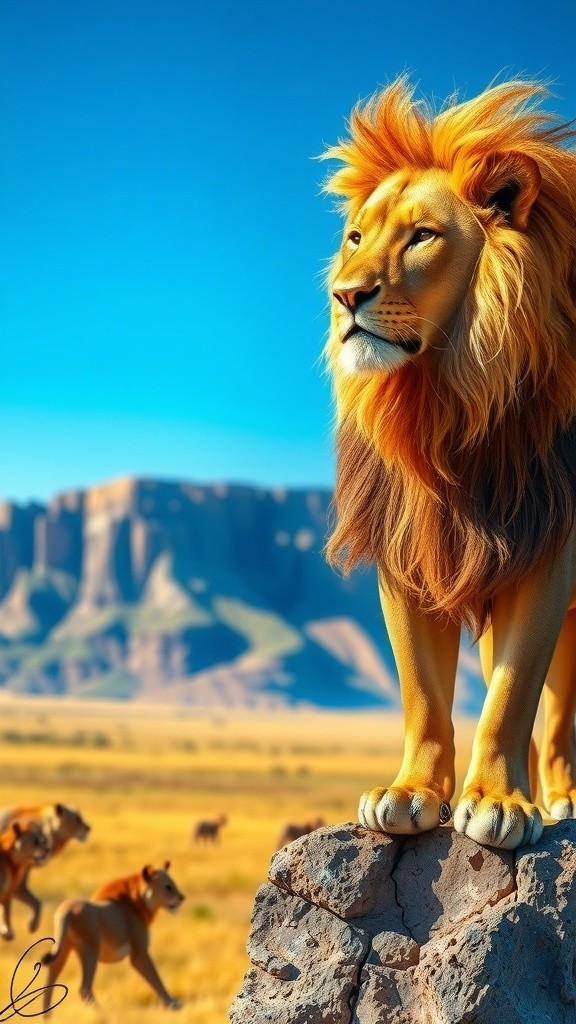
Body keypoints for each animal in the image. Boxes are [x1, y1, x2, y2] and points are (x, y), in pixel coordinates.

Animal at [0, 802, 90, 932]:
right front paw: (7, 930)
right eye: (77, 818)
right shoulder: (15, 882)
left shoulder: (18, 882)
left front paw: (32, 925)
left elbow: (37, 903)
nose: (88, 828)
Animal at [42, 861, 184, 1011]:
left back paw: (47, 1014)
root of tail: (67, 910)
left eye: (173, 883)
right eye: (168, 886)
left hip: (63, 948)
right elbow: (155, 978)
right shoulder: (139, 953)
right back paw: (103, 1012)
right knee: (84, 988)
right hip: (90, 949)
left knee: (51, 976)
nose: (182, 898)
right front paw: (172, 1003)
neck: (139, 902)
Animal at [323, 78, 576, 850]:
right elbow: (423, 693)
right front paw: (411, 793)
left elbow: (513, 693)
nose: (345, 294)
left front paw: (498, 802)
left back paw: (559, 801)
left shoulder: (546, 548)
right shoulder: (409, 547)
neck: (442, 405)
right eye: (355, 237)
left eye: (422, 237)